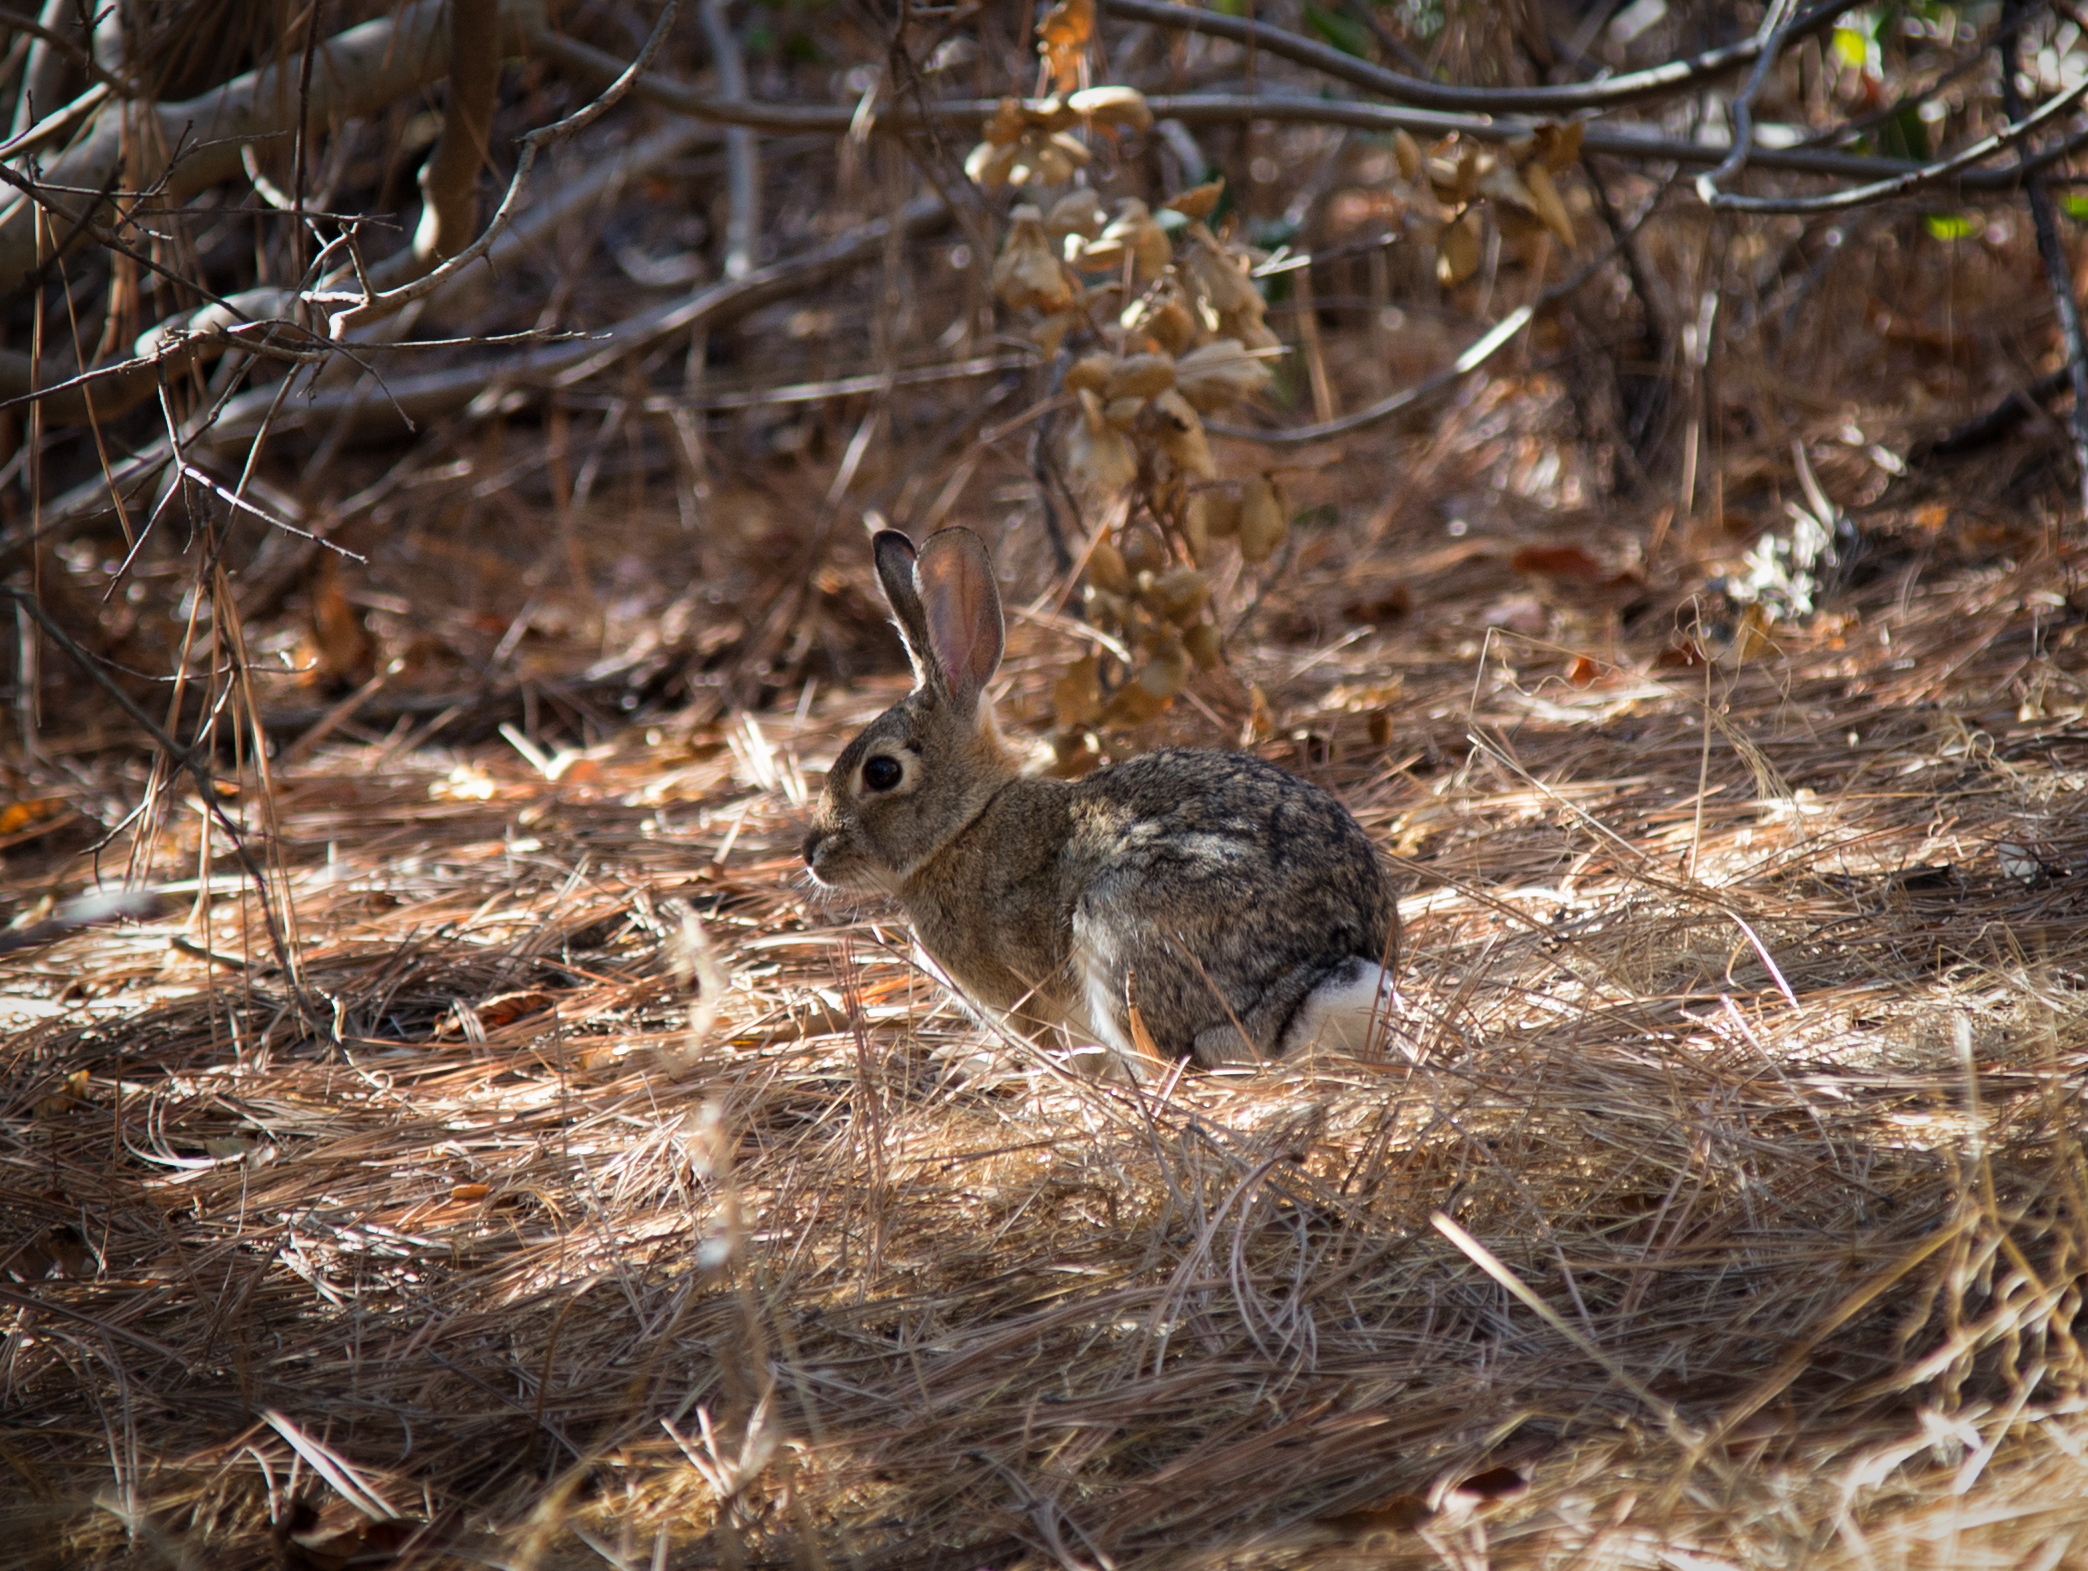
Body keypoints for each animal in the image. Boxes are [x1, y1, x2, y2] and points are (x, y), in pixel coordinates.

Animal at [797, 528, 1403, 1069]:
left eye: (881, 772)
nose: (811, 853)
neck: (964, 828)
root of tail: (1316, 979)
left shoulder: (1019, 998)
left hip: (1118, 929)